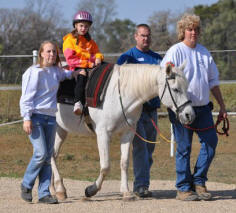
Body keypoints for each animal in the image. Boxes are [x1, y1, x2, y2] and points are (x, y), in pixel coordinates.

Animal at [50, 62, 195, 201]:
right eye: (176, 89)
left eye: (187, 87)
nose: (189, 115)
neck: (120, 95)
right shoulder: (103, 134)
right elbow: (105, 166)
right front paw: (91, 190)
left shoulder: (128, 133)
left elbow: (124, 162)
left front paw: (126, 192)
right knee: (51, 155)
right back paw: (60, 188)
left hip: (60, 130)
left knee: (53, 155)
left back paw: (54, 190)